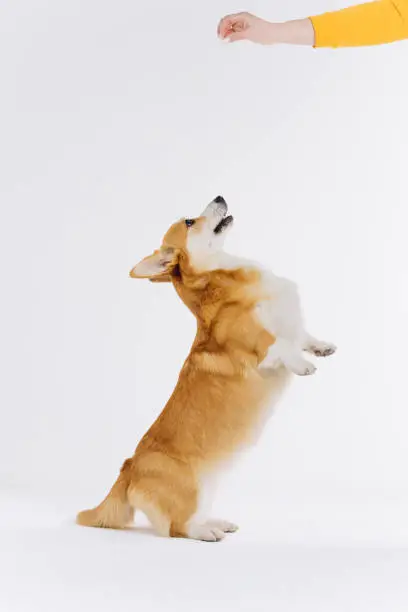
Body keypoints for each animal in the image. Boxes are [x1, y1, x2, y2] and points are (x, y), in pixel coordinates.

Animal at [77, 196, 334, 540]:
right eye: (189, 222)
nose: (220, 197)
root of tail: (128, 468)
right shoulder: (258, 349)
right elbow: (280, 344)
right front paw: (303, 364)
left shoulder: (292, 323)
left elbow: (301, 336)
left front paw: (321, 347)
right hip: (191, 488)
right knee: (178, 527)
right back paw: (206, 533)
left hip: (207, 489)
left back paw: (216, 522)